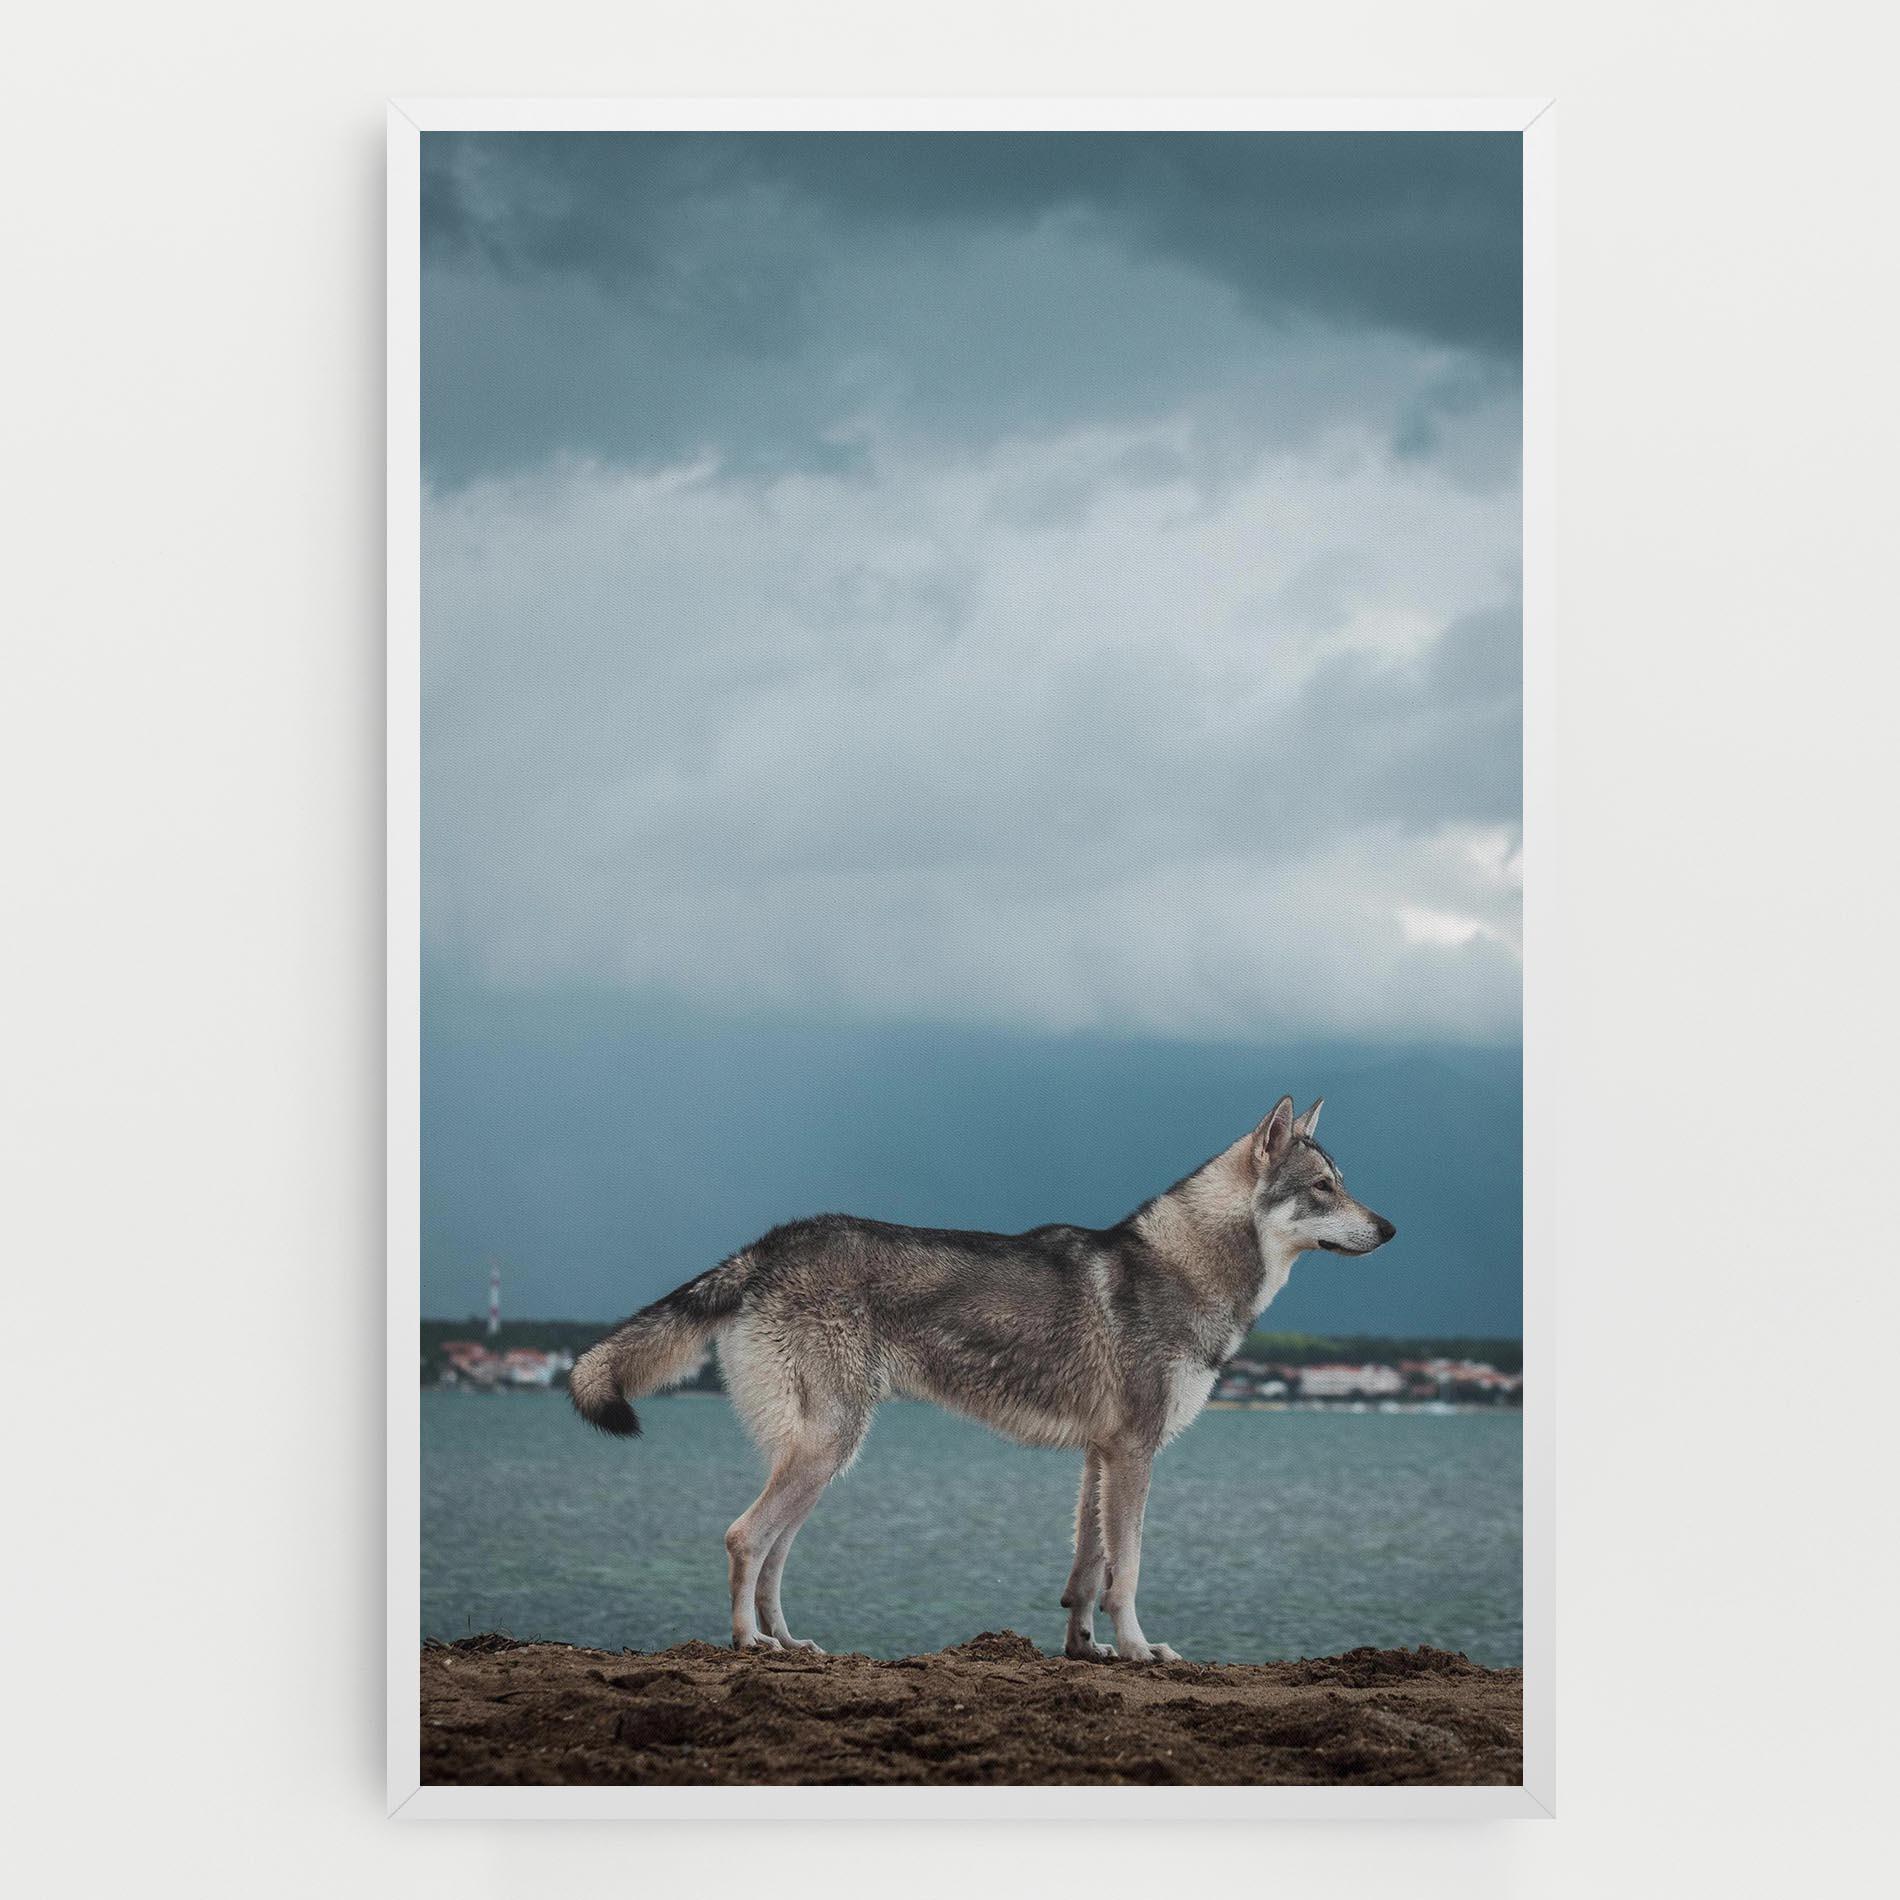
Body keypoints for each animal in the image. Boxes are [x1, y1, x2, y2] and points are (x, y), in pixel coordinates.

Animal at [570, 1094, 1395, 1661]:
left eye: (1344, 1183)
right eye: (1323, 1187)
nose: (1390, 1228)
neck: (1188, 1269)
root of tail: (769, 1244)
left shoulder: (1099, 1457)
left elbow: (1087, 1571)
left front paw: (1086, 1651)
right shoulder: (1134, 1454)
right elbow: (1127, 1570)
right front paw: (1138, 1650)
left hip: (824, 1462)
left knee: (771, 1555)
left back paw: (791, 1642)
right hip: (826, 1452)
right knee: (743, 1539)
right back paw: (750, 1644)